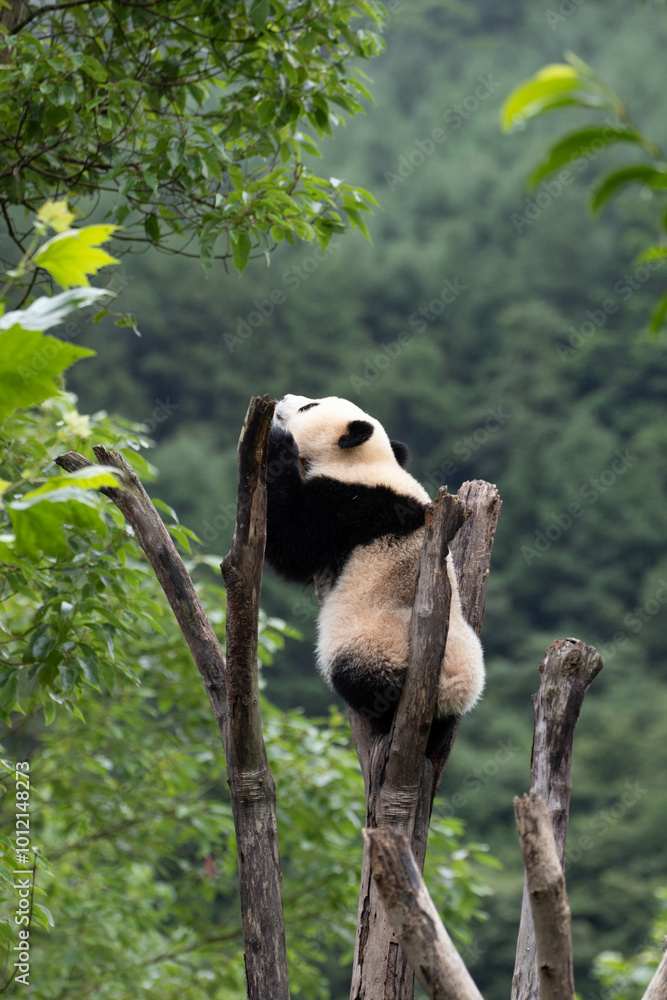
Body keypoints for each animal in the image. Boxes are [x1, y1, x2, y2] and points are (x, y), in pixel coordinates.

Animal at [264, 394, 484, 729]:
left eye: (310, 406)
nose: (284, 399)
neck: (363, 460)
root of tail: (450, 687)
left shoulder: (349, 504)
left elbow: (294, 542)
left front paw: (278, 444)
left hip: (375, 639)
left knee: (362, 675)